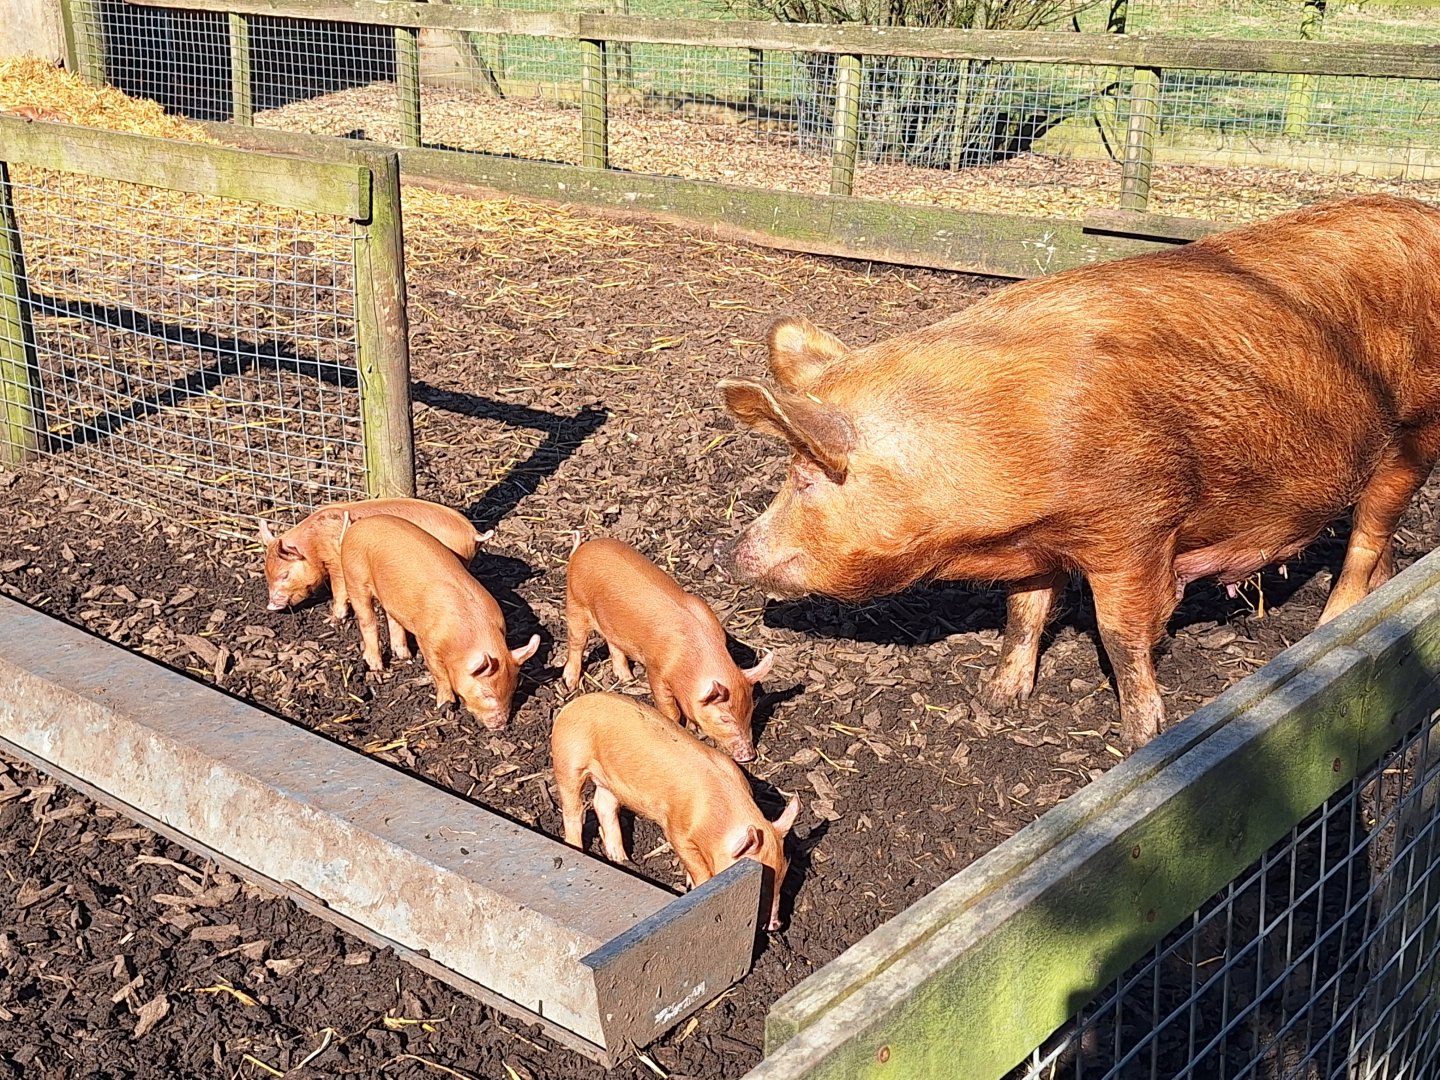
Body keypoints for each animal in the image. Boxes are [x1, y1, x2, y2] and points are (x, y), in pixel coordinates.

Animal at [258, 497, 488, 621]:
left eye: (284, 575)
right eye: (267, 575)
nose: (270, 606)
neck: (314, 543)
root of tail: (473, 532)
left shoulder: (336, 563)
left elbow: (339, 589)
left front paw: (332, 620)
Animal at [338, 515, 539, 730]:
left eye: (513, 689)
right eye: (486, 694)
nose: (501, 726)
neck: (469, 635)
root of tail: (358, 525)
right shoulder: (428, 641)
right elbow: (439, 673)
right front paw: (446, 705)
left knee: (393, 618)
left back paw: (405, 656)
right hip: (354, 577)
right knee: (367, 621)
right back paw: (377, 667)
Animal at [551, 692, 800, 931]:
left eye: (783, 874)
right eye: (762, 883)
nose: (776, 926)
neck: (715, 818)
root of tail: (573, 705)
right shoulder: (677, 832)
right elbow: (698, 868)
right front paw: (697, 886)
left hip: (609, 781)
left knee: (603, 804)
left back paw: (622, 860)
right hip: (569, 762)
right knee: (573, 812)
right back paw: (576, 848)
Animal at [561, 537, 774, 763]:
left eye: (750, 711)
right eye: (724, 719)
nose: (749, 755)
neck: (690, 658)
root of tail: (582, 549)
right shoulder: (656, 672)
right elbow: (669, 709)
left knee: (613, 643)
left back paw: (627, 678)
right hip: (575, 604)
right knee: (576, 643)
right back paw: (570, 683)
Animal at [718, 195, 1440, 751]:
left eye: (806, 479)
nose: (735, 551)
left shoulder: (1137, 528)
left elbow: (1122, 637)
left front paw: (1143, 739)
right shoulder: (1038, 544)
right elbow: (1022, 612)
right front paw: (1000, 698)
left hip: (1418, 430)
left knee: (1369, 533)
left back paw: (1328, 631)